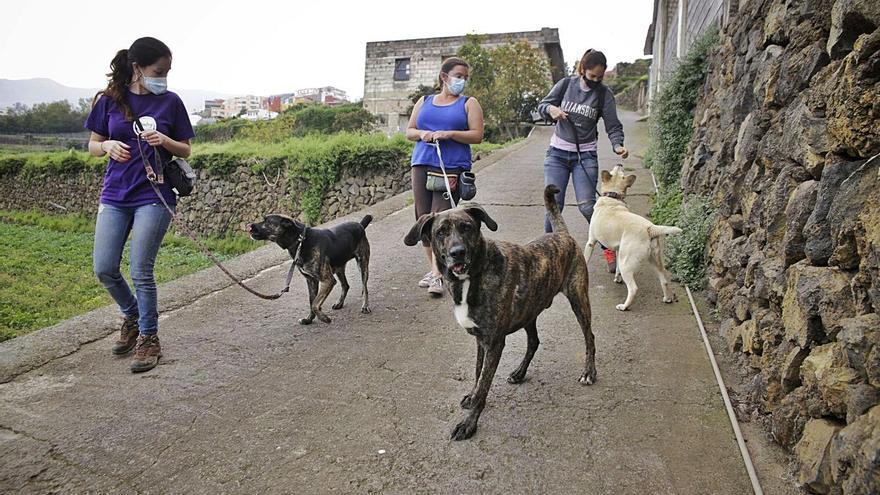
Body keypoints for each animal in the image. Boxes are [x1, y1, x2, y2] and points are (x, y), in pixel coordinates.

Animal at [406, 186, 600, 442]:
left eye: (466, 227)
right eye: (441, 232)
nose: (458, 252)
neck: (472, 277)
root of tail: (561, 234)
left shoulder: (494, 342)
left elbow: (484, 386)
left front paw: (469, 424)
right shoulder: (481, 340)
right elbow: (478, 373)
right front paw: (471, 395)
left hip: (578, 300)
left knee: (589, 337)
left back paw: (589, 372)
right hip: (529, 311)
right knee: (534, 342)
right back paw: (519, 373)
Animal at [588, 165, 684, 310]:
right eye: (618, 171)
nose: (619, 163)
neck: (613, 198)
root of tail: (650, 228)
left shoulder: (590, 242)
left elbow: (585, 258)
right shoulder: (618, 250)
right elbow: (617, 268)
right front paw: (617, 278)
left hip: (627, 264)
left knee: (633, 288)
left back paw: (624, 306)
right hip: (653, 260)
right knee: (664, 281)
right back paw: (667, 298)